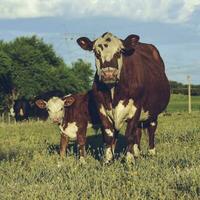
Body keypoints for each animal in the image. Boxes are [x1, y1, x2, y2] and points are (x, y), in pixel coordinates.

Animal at [77, 32, 170, 164]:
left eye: (119, 52)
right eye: (96, 53)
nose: (109, 74)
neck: (113, 92)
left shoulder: (136, 107)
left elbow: (129, 134)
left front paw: (129, 159)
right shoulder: (102, 108)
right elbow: (109, 134)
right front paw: (108, 159)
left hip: (153, 111)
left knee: (151, 128)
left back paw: (151, 152)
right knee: (137, 131)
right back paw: (137, 152)